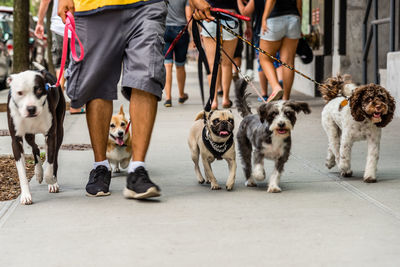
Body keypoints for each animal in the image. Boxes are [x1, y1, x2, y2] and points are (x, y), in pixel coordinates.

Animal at [7, 69, 65, 205]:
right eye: (20, 93)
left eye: (38, 90)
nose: (31, 108)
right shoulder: (16, 140)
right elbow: (21, 172)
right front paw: (26, 195)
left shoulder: (51, 135)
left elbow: (50, 162)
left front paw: (52, 181)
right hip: (29, 134)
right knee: (35, 148)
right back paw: (38, 173)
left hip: (59, 130)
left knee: (53, 156)